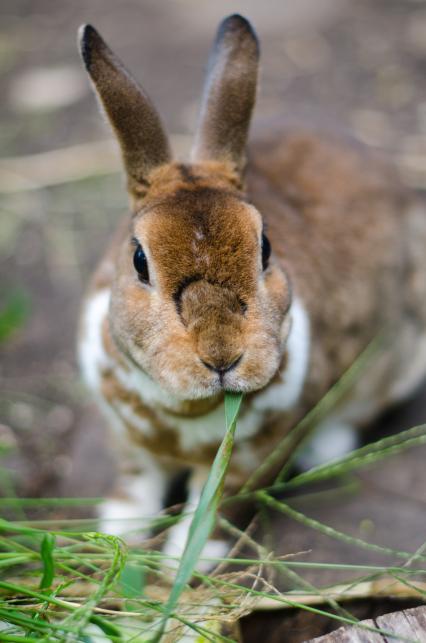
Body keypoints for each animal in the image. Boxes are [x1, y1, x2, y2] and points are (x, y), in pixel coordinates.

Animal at [76, 15, 426, 568]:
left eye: (265, 248)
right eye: (138, 261)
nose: (221, 354)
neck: (185, 409)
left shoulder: (254, 457)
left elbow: (215, 508)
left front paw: (185, 561)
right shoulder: (128, 445)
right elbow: (135, 486)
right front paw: (117, 533)